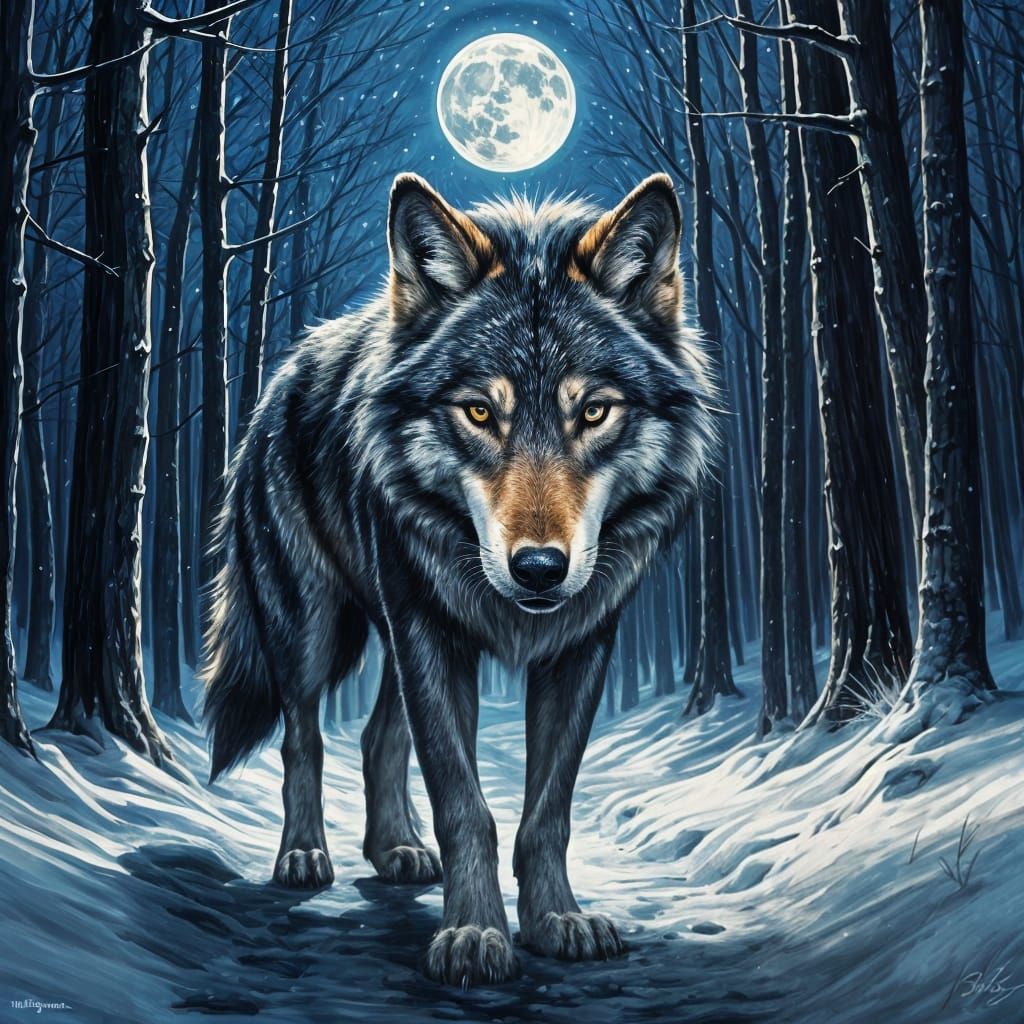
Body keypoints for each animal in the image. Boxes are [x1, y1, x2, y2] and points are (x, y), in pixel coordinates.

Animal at [203, 171, 716, 986]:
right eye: (479, 411)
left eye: (594, 412)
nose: (539, 568)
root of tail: (288, 370)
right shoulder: (429, 636)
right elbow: (464, 803)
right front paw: (474, 934)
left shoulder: (582, 647)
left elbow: (548, 809)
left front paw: (557, 920)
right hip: (312, 627)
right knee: (302, 737)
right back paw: (304, 854)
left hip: (392, 634)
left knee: (377, 735)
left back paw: (397, 850)